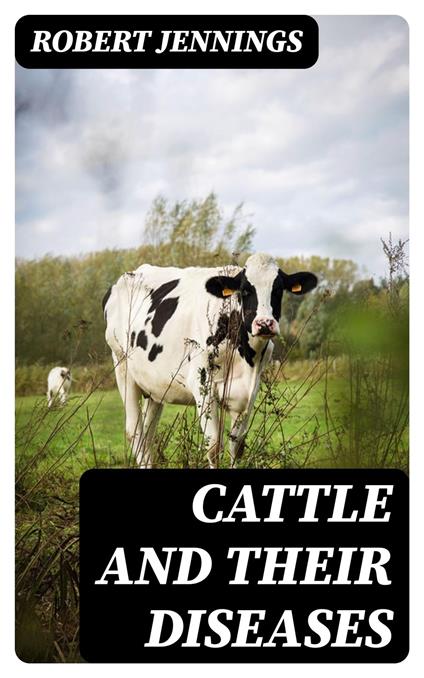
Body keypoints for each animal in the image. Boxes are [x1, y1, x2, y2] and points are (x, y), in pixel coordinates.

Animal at [103, 253, 317, 468]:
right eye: (245, 290)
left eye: (278, 289)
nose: (264, 324)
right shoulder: (202, 383)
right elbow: (213, 446)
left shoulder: (249, 389)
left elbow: (237, 446)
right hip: (123, 368)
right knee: (135, 432)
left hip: (155, 386)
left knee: (148, 433)